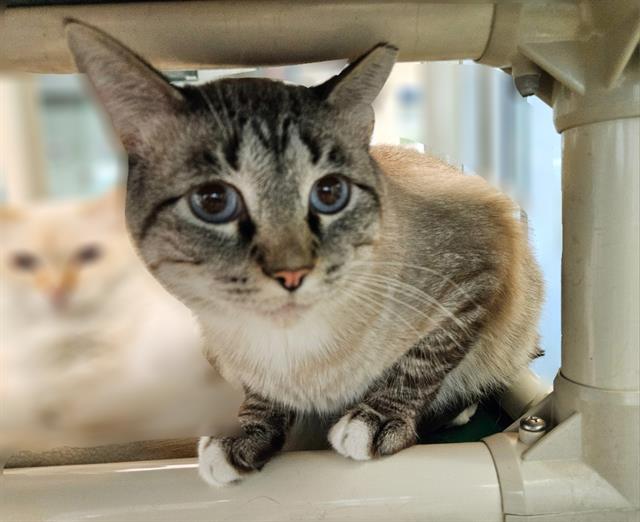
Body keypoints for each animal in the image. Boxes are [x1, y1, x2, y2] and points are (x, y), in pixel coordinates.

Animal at [63, 20, 544, 484]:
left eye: (330, 193)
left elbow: (423, 362)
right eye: (213, 201)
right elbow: (262, 395)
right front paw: (247, 435)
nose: (292, 273)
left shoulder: (476, 273)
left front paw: (379, 419)